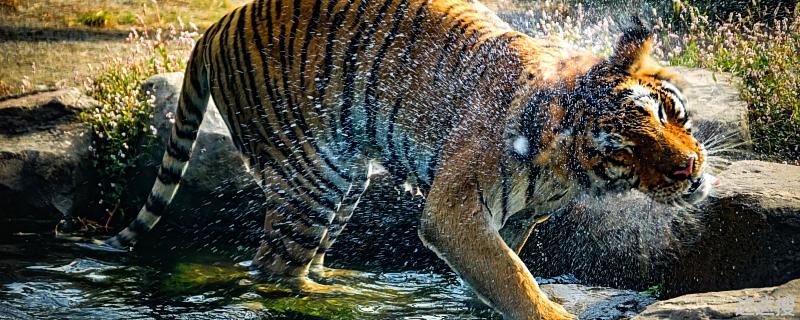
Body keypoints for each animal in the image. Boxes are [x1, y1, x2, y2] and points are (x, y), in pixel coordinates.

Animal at [97, 0, 716, 318]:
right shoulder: (454, 209)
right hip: (312, 176)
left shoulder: (514, 218)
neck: (569, 172)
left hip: (345, 178)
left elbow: (498, 272)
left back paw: (342, 279)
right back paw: (339, 300)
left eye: (665, 113)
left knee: (300, 256)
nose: (688, 169)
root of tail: (213, 26)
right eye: (626, 152)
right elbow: (512, 276)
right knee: (273, 268)